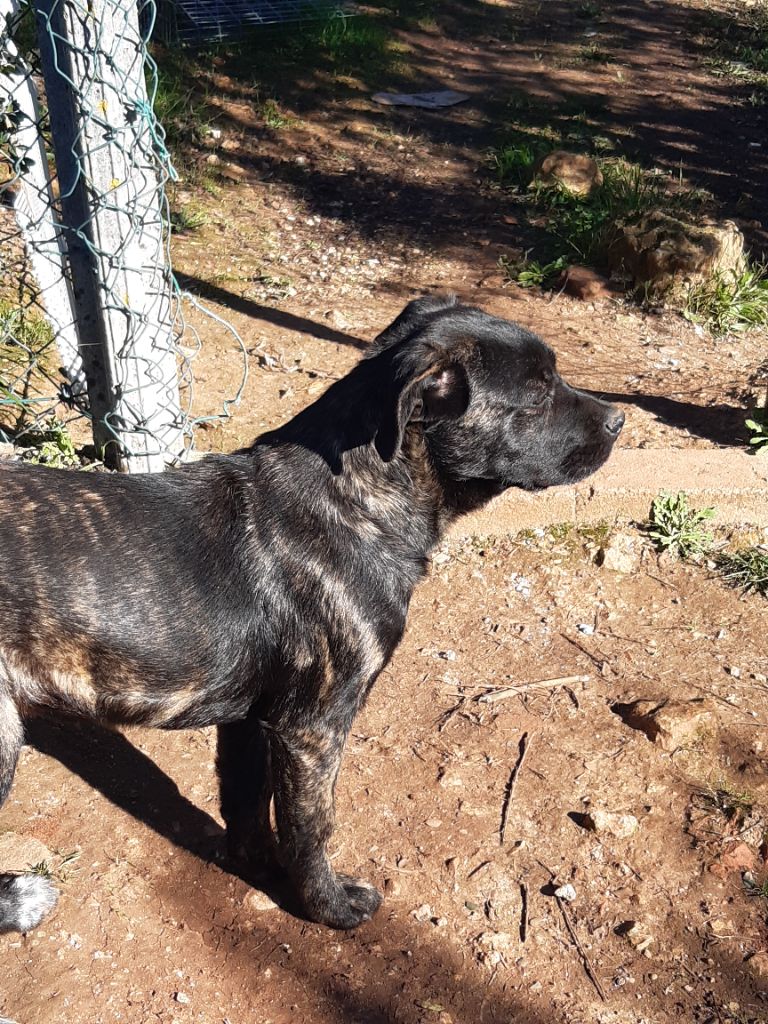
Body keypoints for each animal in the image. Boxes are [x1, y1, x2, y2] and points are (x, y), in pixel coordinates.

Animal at [0, 295, 623, 932]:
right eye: (539, 393)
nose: (619, 420)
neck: (358, 500)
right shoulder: (314, 727)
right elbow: (310, 826)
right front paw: (329, 906)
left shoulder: (252, 720)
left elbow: (246, 803)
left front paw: (256, 867)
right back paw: (20, 901)